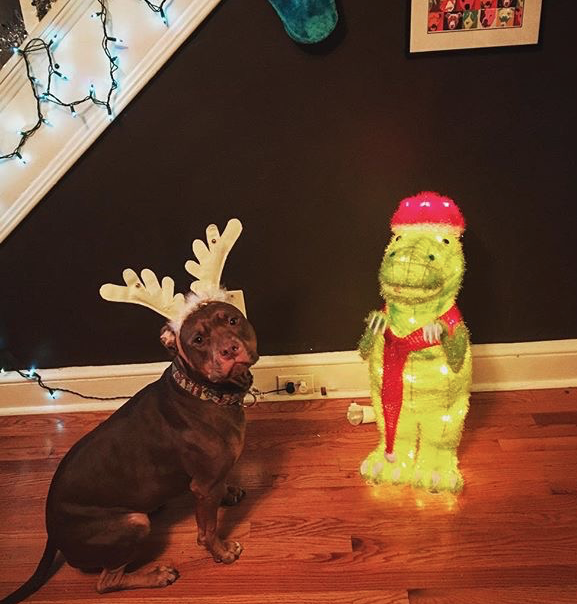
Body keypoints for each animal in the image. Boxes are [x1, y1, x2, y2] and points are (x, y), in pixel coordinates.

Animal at [0, 300, 256, 600]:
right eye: (198, 340)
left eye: (232, 320)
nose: (229, 349)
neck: (201, 391)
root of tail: (52, 530)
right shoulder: (203, 487)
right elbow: (208, 530)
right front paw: (222, 552)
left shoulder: (210, 480)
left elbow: (221, 485)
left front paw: (229, 492)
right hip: (133, 523)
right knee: (106, 582)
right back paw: (157, 576)